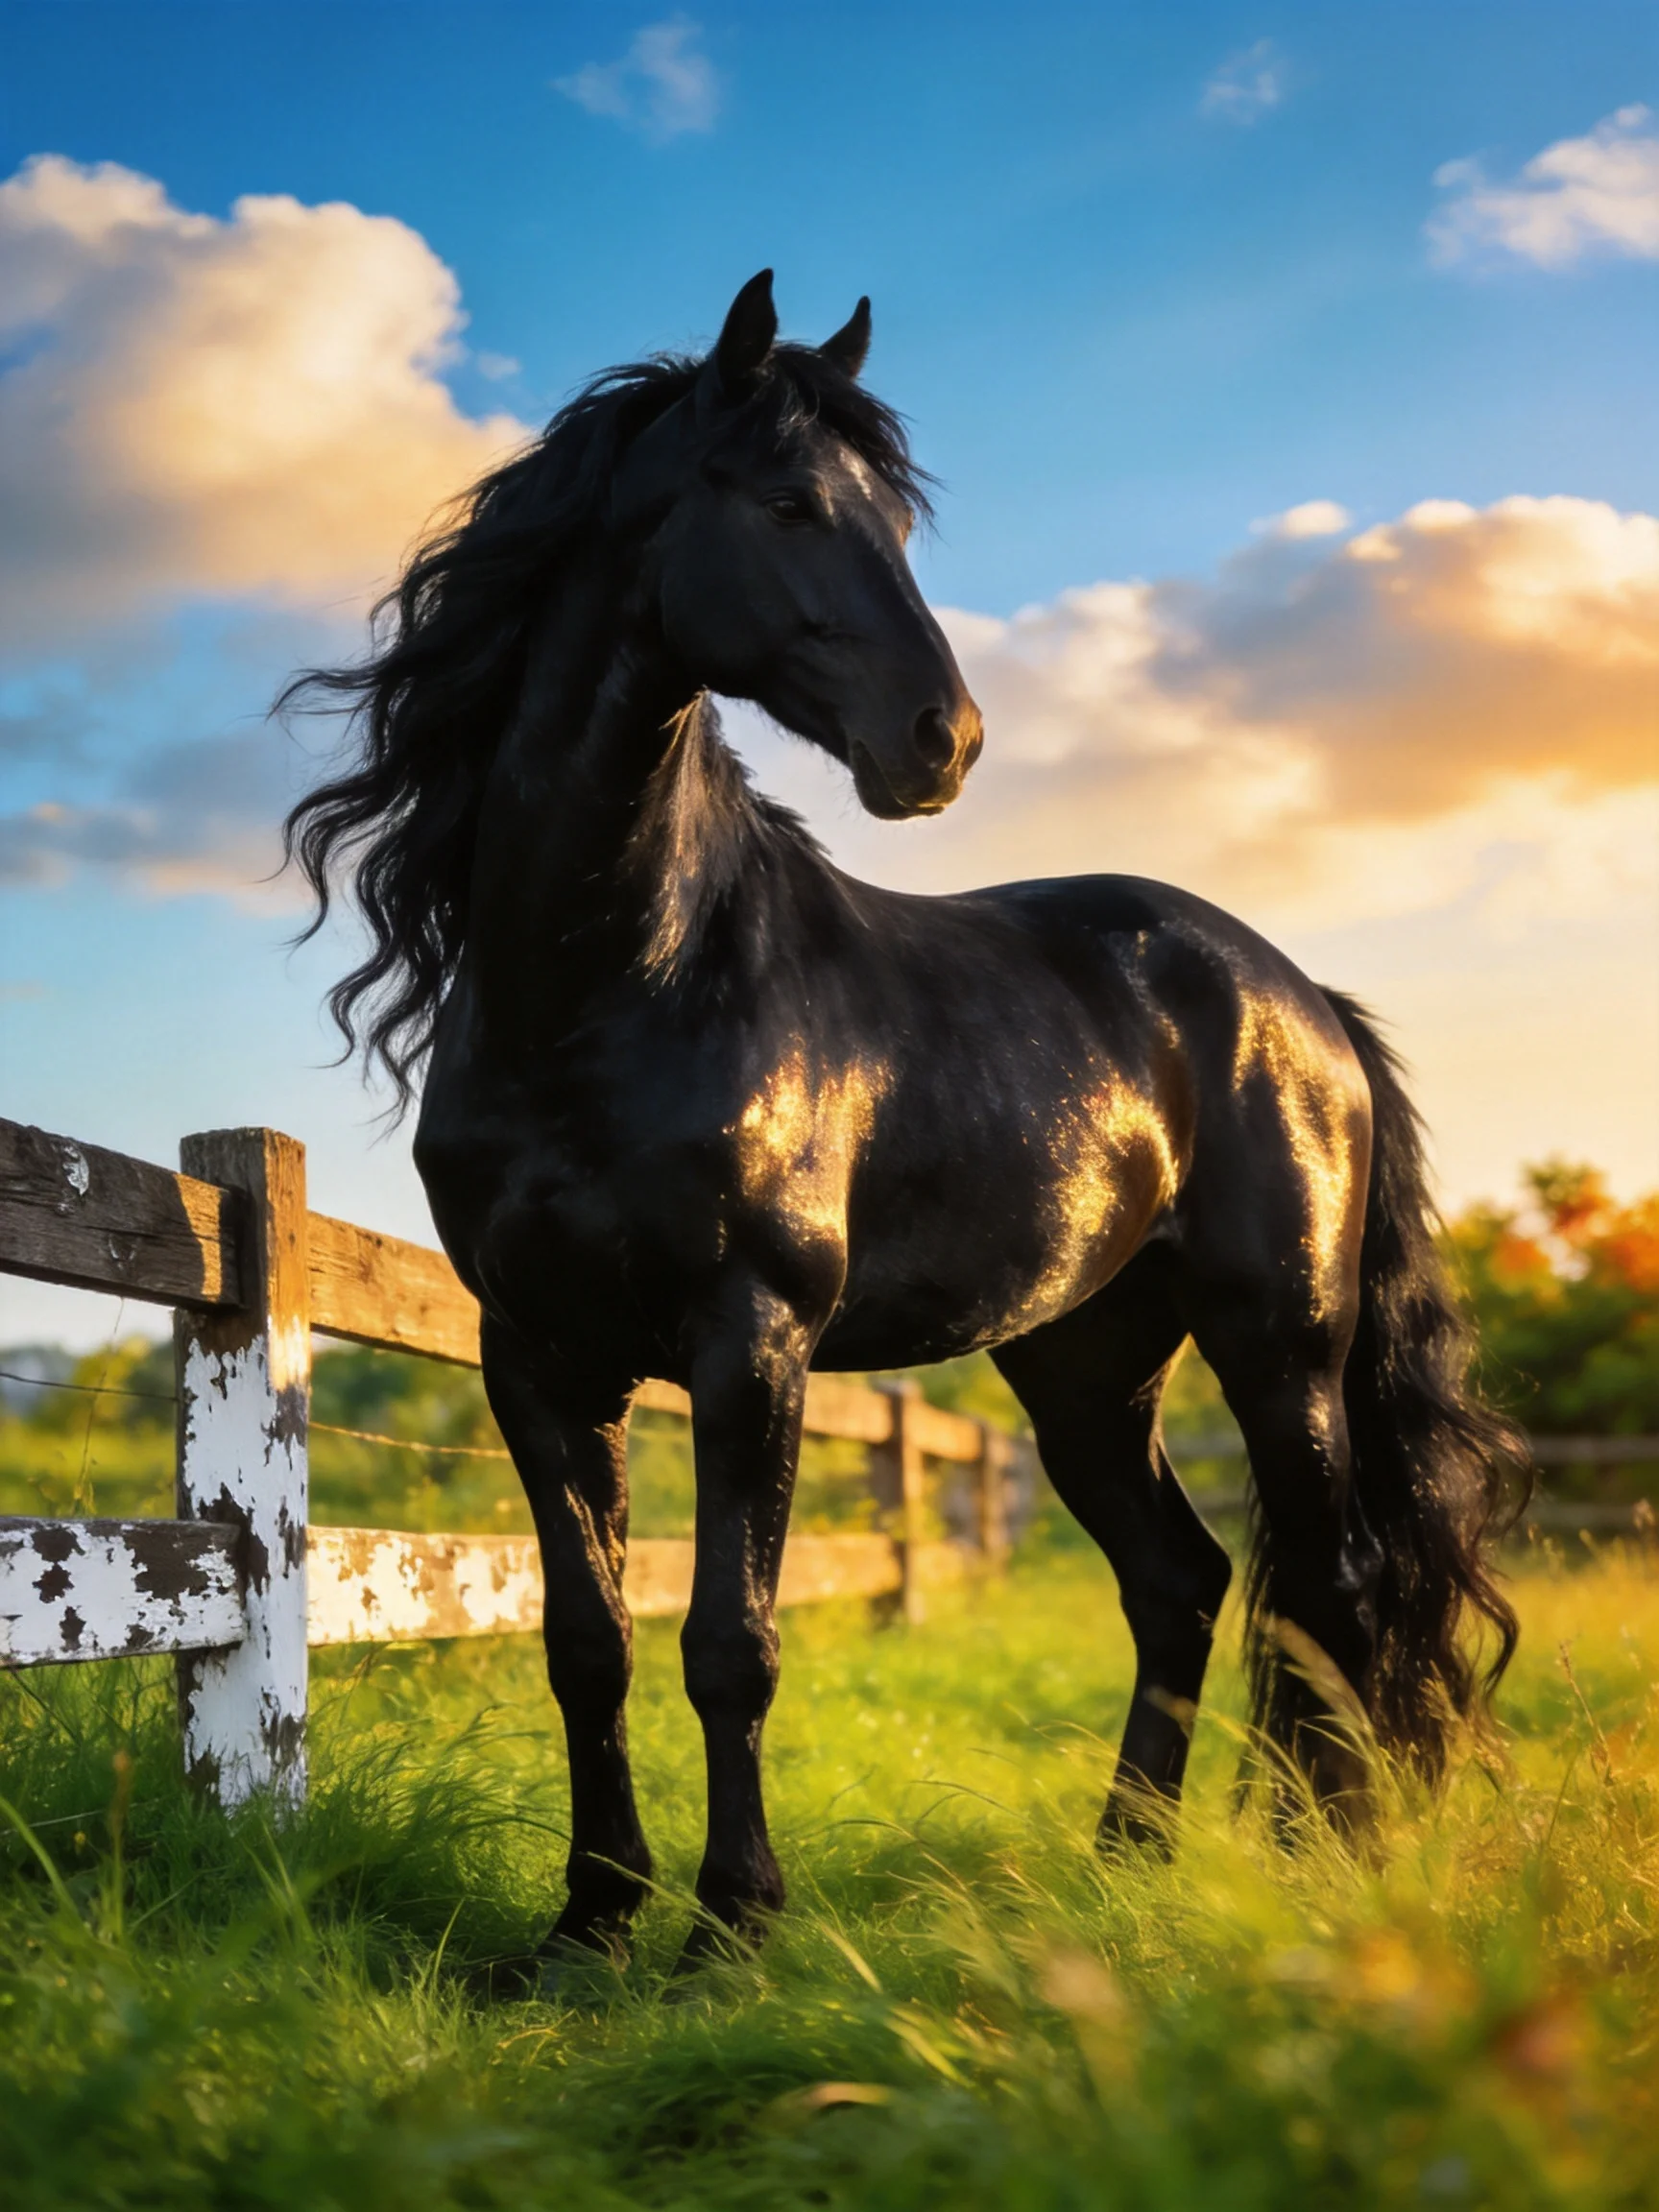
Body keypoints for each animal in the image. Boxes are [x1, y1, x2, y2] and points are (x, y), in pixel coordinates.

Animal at [284, 271, 1524, 1984]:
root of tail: (1301, 1003)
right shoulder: (534, 1353)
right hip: (1085, 1365)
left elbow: (731, 1642)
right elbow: (587, 1641)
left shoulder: (752, 1337)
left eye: (895, 521)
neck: (622, 975)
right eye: (790, 503)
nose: (945, 740)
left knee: (1330, 1593)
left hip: (1283, 1347)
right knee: (1187, 1583)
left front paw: (732, 1925)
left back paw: (1331, 1861)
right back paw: (1129, 1864)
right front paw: (592, 1923)